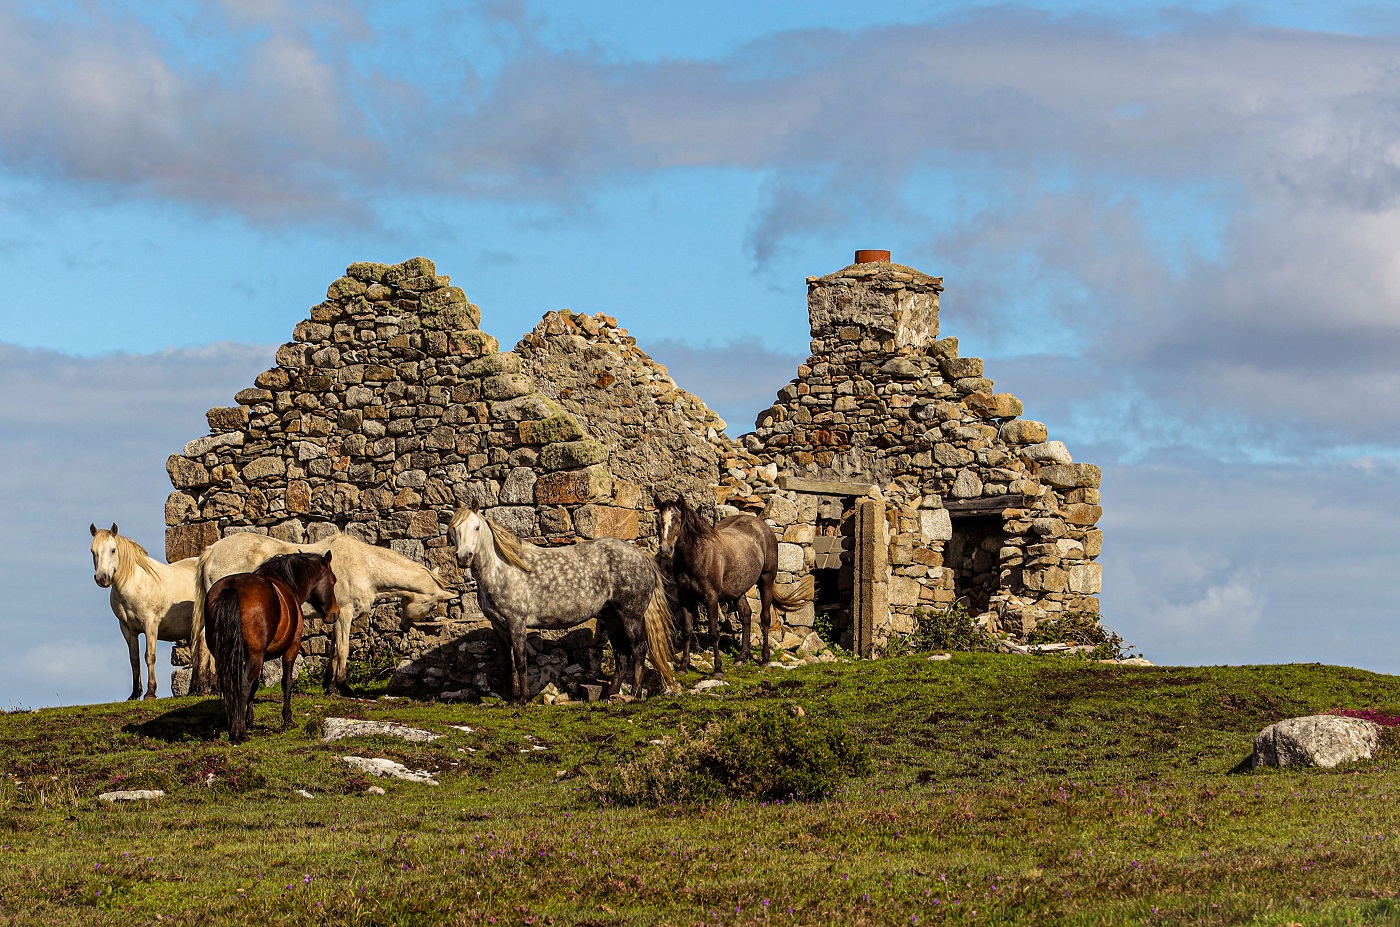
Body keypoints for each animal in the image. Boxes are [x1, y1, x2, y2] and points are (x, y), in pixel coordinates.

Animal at [90, 526, 200, 700]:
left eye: (113, 550)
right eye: (93, 551)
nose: (102, 578)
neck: (135, 584)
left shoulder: (150, 625)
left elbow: (149, 656)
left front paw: (150, 692)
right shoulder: (128, 630)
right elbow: (134, 660)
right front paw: (135, 694)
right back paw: (191, 691)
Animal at [189, 529, 453, 697]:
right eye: (432, 605)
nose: (405, 626)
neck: (364, 566)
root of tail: (211, 551)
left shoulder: (336, 616)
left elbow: (334, 650)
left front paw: (329, 686)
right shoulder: (344, 614)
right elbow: (343, 649)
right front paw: (344, 686)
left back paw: (206, 686)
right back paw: (206, 686)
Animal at [203, 554, 338, 744]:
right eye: (333, 580)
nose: (335, 613)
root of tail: (232, 588)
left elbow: (255, 686)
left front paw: (249, 719)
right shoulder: (292, 647)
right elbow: (286, 682)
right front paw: (287, 718)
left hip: (226, 656)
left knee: (232, 686)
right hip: (256, 656)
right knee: (242, 686)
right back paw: (239, 733)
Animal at [658, 501, 812, 674]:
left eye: (678, 520)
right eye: (658, 521)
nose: (665, 550)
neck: (697, 554)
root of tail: (763, 527)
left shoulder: (711, 597)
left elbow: (714, 632)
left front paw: (718, 669)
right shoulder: (684, 597)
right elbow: (687, 631)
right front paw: (683, 666)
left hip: (766, 581)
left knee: (765, 619)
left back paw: (765, 658)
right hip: (738, 589)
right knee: (746, 615)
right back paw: (742, 657)